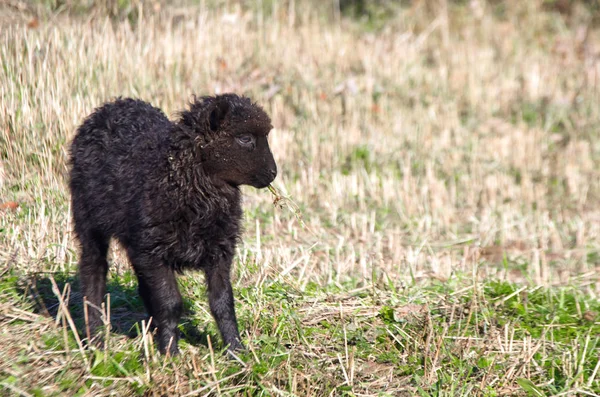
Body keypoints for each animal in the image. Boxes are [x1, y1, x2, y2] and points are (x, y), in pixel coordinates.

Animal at [69, 94, 278, 354]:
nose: (273, 173)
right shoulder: (155, 252)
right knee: (93, 270)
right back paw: (96, 340)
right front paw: (170, 352)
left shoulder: (219, 250)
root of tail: (110, 106)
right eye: (245, 138)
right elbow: (170, 303)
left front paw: (235, 350)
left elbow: (223, 302)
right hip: (89, 219)